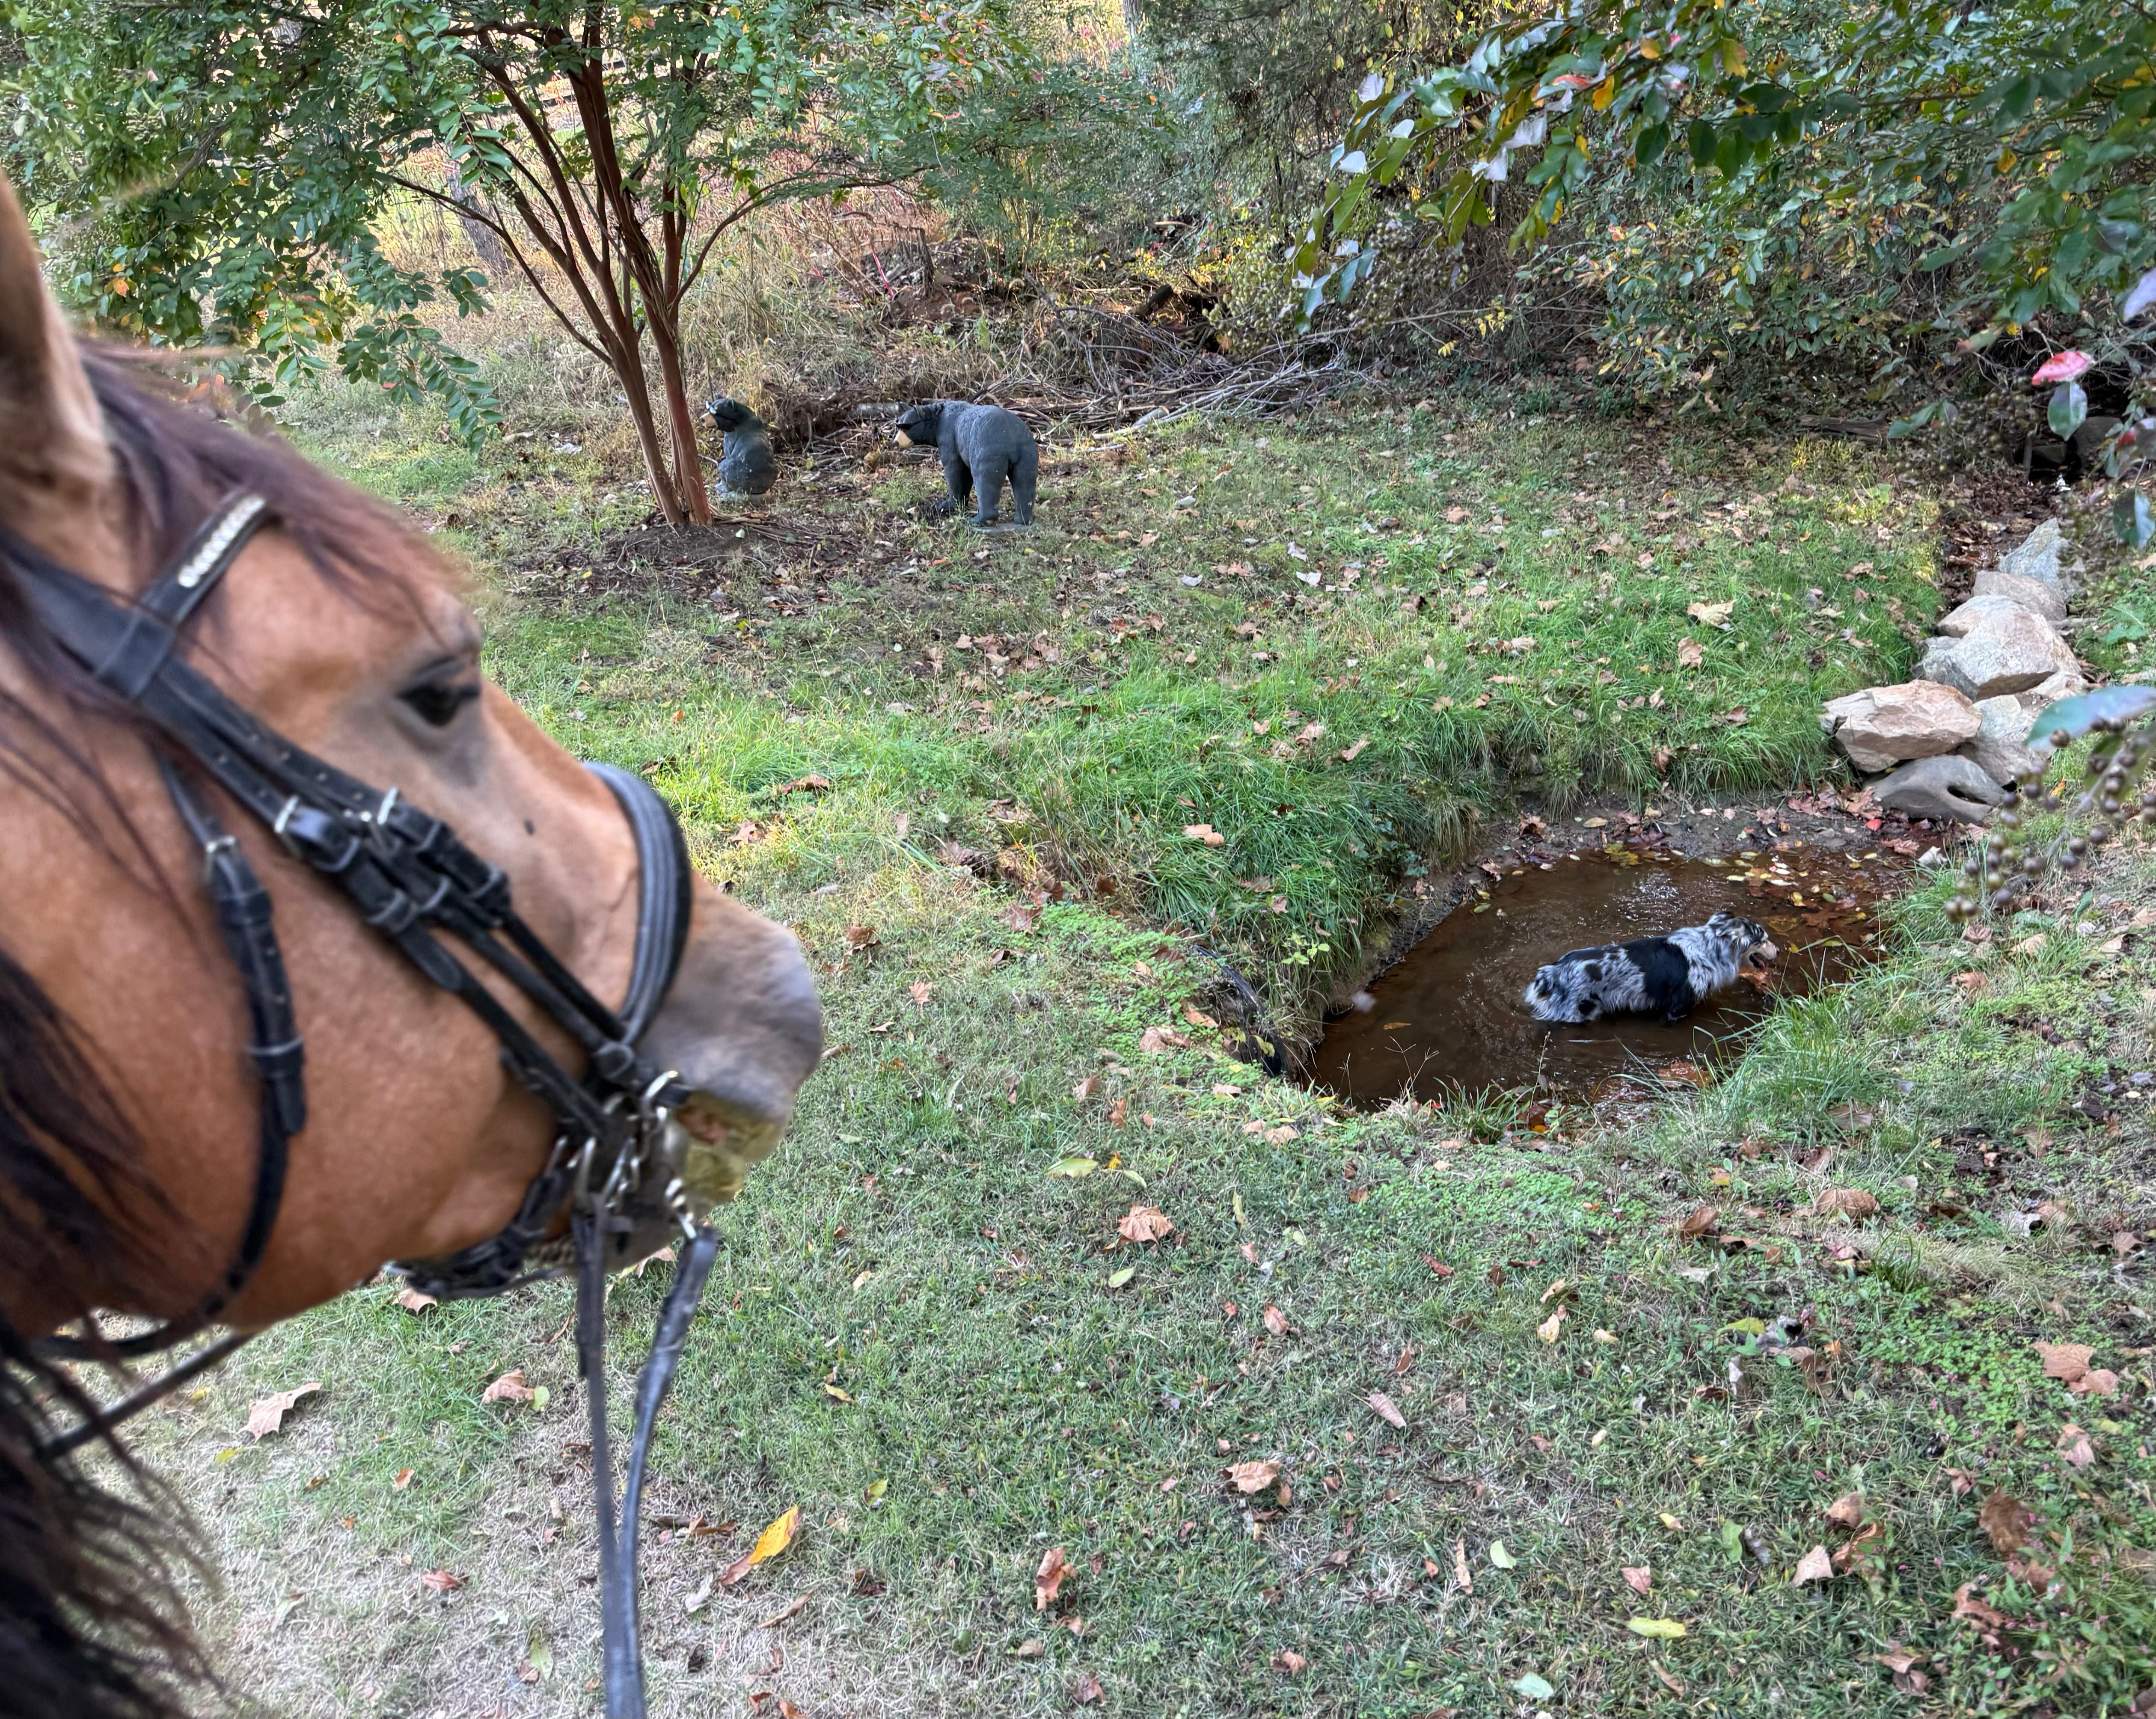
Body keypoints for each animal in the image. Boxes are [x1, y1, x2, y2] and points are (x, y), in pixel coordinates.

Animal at [1524, 912, 1777, 1023]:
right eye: (1764, 939)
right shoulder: (1679, 1008)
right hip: (1579, 1012)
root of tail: (1552, 973)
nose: (1779, 950)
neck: (1709, 948)